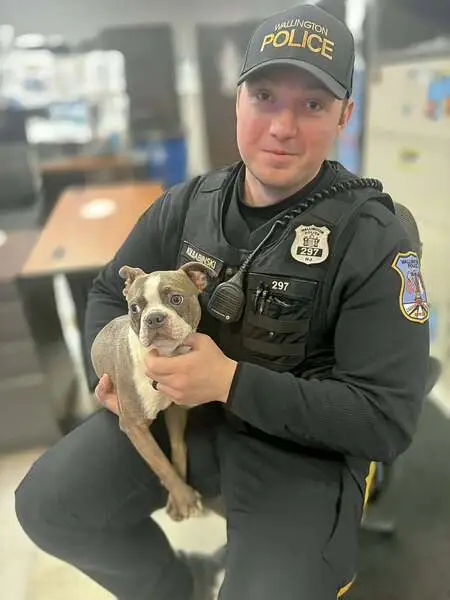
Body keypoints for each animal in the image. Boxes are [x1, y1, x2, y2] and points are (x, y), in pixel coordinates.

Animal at [91, 261, 212, 521]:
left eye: (176, 299)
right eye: (135, 308)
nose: (154, 318)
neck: (166, 356)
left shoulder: (176, 408)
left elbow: (176, 448)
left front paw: (178, 496)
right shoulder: (134, 426)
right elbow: (161, 464)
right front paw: (183, 498)